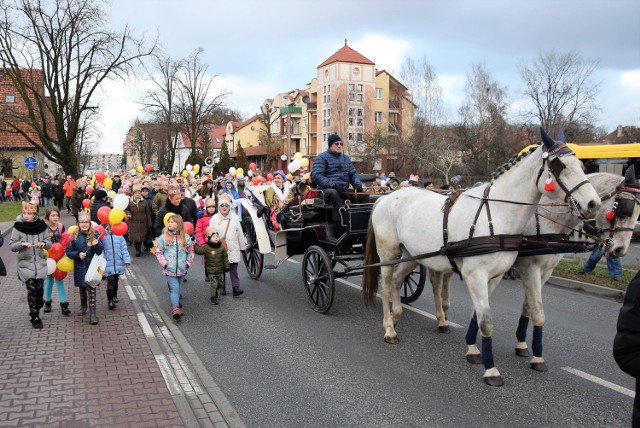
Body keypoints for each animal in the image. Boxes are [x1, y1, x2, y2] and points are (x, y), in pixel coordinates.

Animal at [362, 129, 604, 386]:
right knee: (386, 285)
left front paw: (476, 351)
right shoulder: (480, 275)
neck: (497, 214)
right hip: (388, 252)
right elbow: (487, 322)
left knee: (398, 281)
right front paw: (491, 369)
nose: (593, 204)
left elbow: (483, 314)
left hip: (411, 254)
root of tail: (387, 197)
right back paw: (389, 328)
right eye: (561, 166)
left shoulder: (496, 276)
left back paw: (398, 315)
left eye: (582, 165)